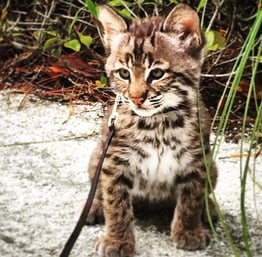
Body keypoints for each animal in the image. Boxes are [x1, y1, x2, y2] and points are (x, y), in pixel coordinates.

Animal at [87, 4, 218, 256]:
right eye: (124, 73)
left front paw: (189, 231)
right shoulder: (114, 161)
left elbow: (193, 197)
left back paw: (210, 209)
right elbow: (115, 202)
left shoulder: (197, 160)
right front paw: (117, 240)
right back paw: (93, 207)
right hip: (97, 153)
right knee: (97, 187)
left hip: (213, 167)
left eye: (157, 74)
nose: (136, 98)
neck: (158, 122)